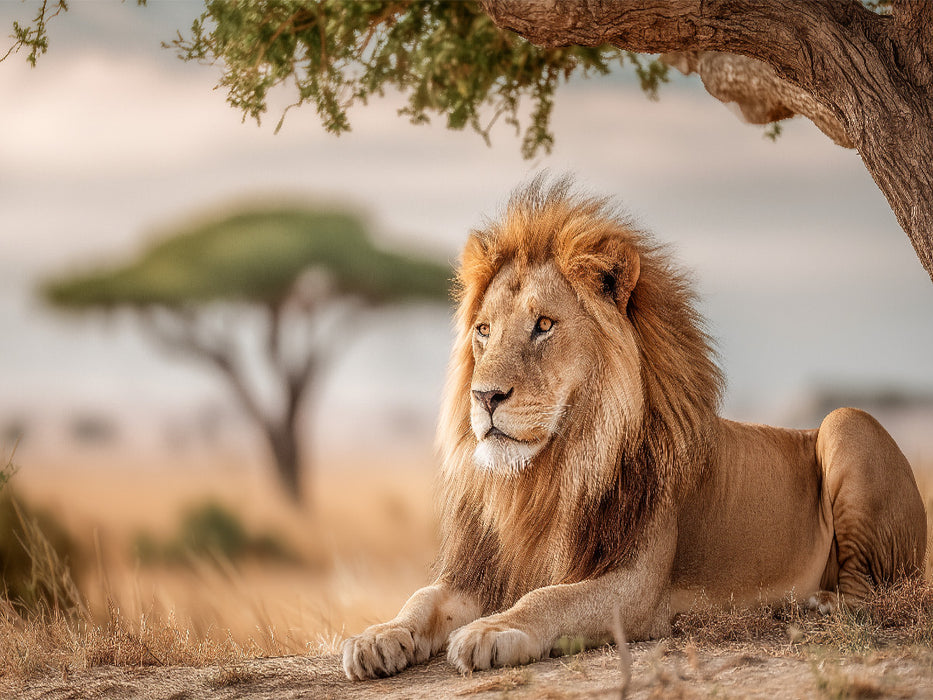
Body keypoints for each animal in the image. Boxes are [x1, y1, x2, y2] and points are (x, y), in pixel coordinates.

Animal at [342, 177, 927, 680]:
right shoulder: (483, 569)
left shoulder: (639, 587)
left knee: (873, 595)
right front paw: (376, 637)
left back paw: (816, 604)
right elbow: (421, 598)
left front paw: (494, 630)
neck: (544, 477)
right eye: (484, 331)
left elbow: (551, 597)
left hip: (847, 424)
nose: (484, 397)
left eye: (544, 325)